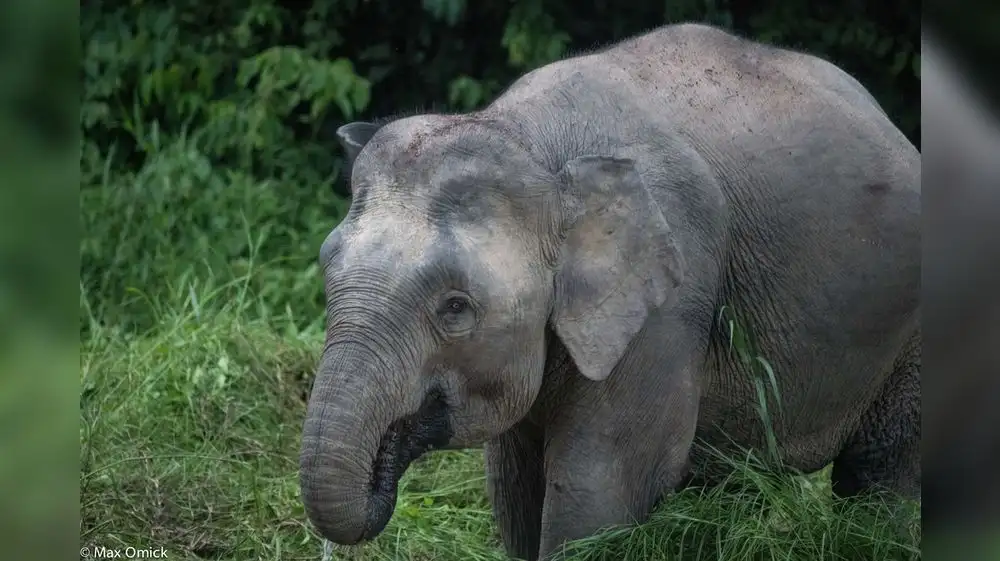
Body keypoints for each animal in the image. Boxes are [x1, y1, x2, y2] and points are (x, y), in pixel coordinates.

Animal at [299, 22, 920, 561]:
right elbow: (515, 488)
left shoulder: (672, 294)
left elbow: (601, 486)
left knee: (880, 468)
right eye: (328, 275)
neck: (531, 140)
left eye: (455, 308)